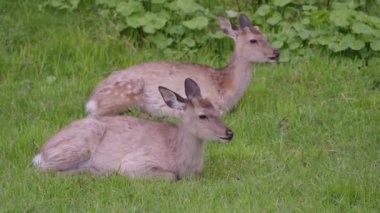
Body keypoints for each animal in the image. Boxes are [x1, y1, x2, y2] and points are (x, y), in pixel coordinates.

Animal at [33, 78, 235, 180]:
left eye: (217, 111)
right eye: (202, 115)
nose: (229, 133)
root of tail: (40, 153)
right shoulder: (136, 161)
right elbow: (169, 176)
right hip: (78, 144)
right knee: (44, 169)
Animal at [84, 13, 278, 116]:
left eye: (266, 36)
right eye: (253, 40)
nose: (276, 52)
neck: (226, 87)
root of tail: (92, 99)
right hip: (128, 90)